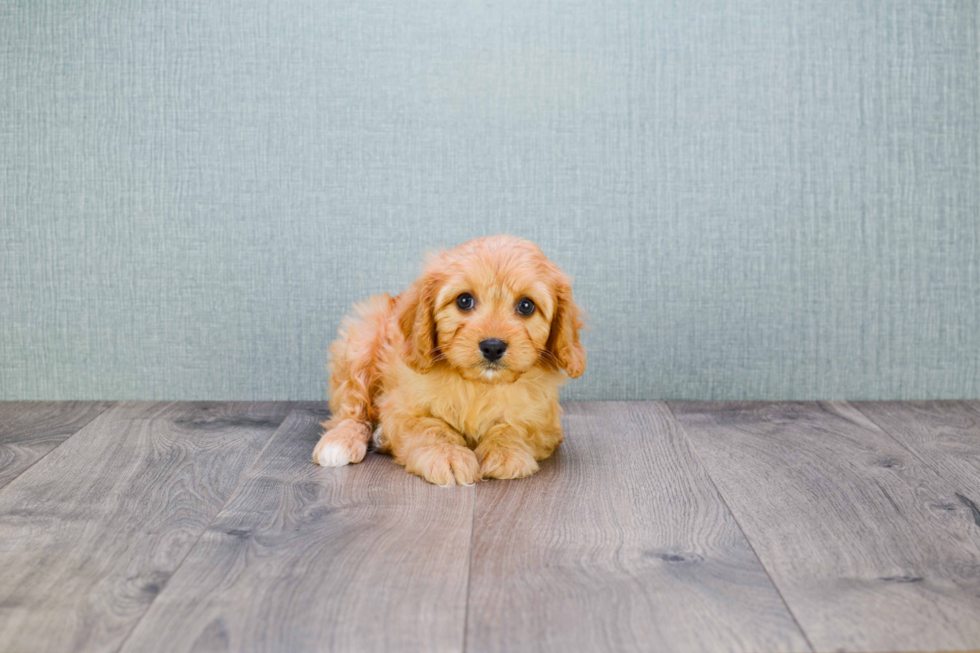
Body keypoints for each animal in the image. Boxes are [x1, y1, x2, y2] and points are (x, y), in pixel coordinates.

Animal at [314, 234, 584, 484]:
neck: (479, 386)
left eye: (526, 306)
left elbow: (516, 427)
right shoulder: (401, 408)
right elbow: (430, 427)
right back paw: (341, 440)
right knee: (352, 407)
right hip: (362, 338)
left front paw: (504, 452)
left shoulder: (543, 418)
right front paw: (448, 455)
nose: (492, 347)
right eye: (464, 300)